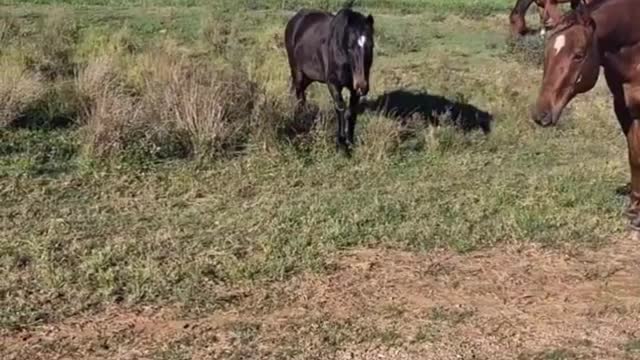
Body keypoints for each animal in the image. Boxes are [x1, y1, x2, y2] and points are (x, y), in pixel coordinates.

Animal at [284, 2, 376, 153]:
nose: (362, 85)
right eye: (350, 47)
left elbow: (351, 112)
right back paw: (301, 120)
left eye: (371, 45)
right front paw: (341, 144)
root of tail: (295, 19)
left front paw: (350, 143)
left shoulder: (353, 89)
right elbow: (340, 108)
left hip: (308, 77)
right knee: (299, 94)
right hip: (297, 72)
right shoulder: (333, 83)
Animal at [532, 0, 640, 231]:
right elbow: (634, 154)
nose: (541, 114)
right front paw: (635, 211)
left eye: (579, 55)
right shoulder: (623, 108)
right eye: (547, 52)